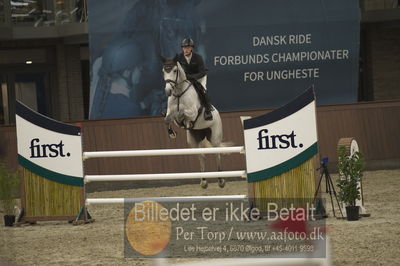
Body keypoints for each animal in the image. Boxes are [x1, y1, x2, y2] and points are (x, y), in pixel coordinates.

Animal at [160, 57, 228, 188]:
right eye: (163, 71)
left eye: (175, 70)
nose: (168, 91)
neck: (179, 92)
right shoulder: (171, 115)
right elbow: (167, 119)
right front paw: (172, 133)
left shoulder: (192, 112)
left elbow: (181, 113)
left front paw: (184, 121)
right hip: (194, 140)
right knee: (201, 156)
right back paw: (203, 181)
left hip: (215, 137)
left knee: (216, 153)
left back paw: (221, 180)